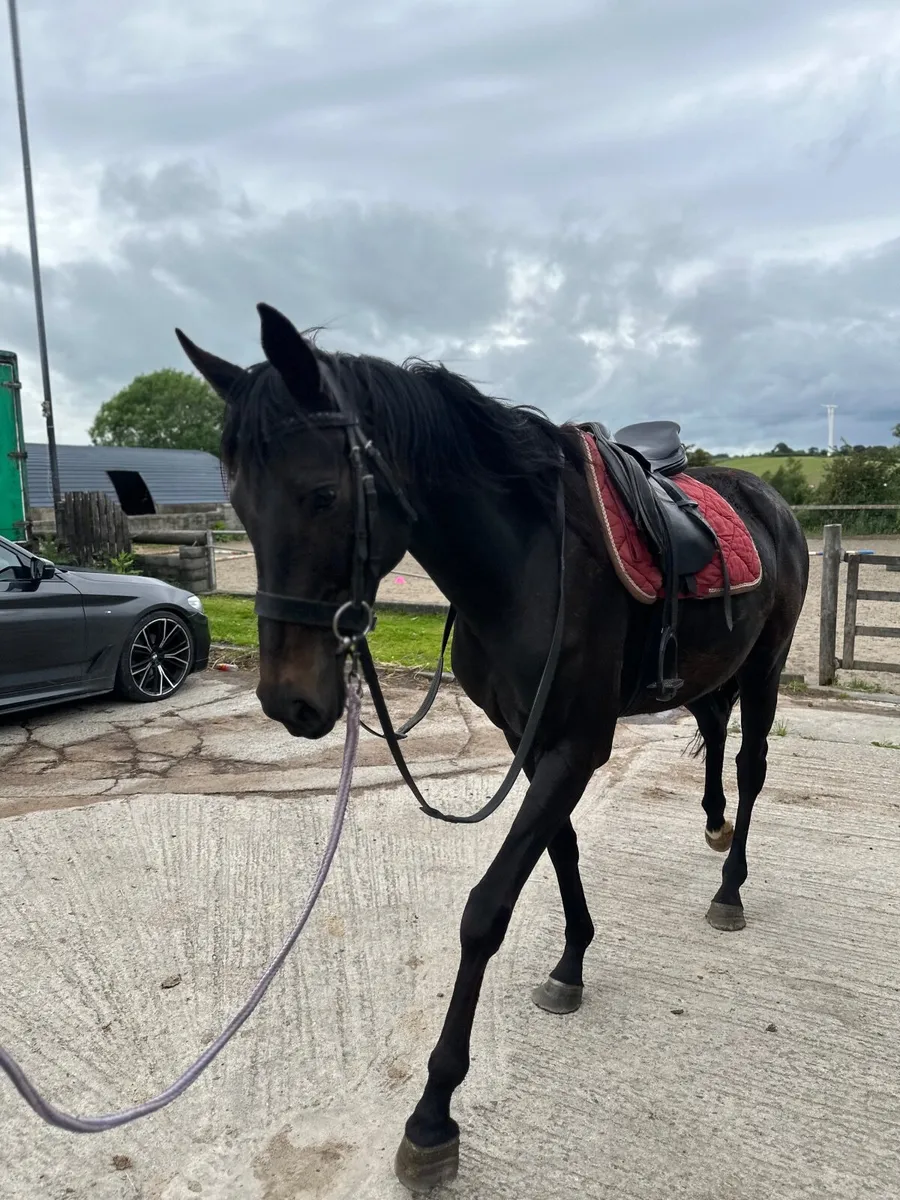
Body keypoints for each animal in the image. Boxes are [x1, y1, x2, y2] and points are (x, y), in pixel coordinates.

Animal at [176, 303, 809, 1193]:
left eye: (323, 493)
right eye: (236, 501)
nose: (289, 701)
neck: (525, 560)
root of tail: (767, 499)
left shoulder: (576, 743)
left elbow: (488, 908)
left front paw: (433, 1113)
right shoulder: (530, 736)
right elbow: (562, 850)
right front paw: (571, 962)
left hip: (770, 662)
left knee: (752, 768)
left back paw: (730, 887)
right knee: (714, 735)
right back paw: (713, 826)